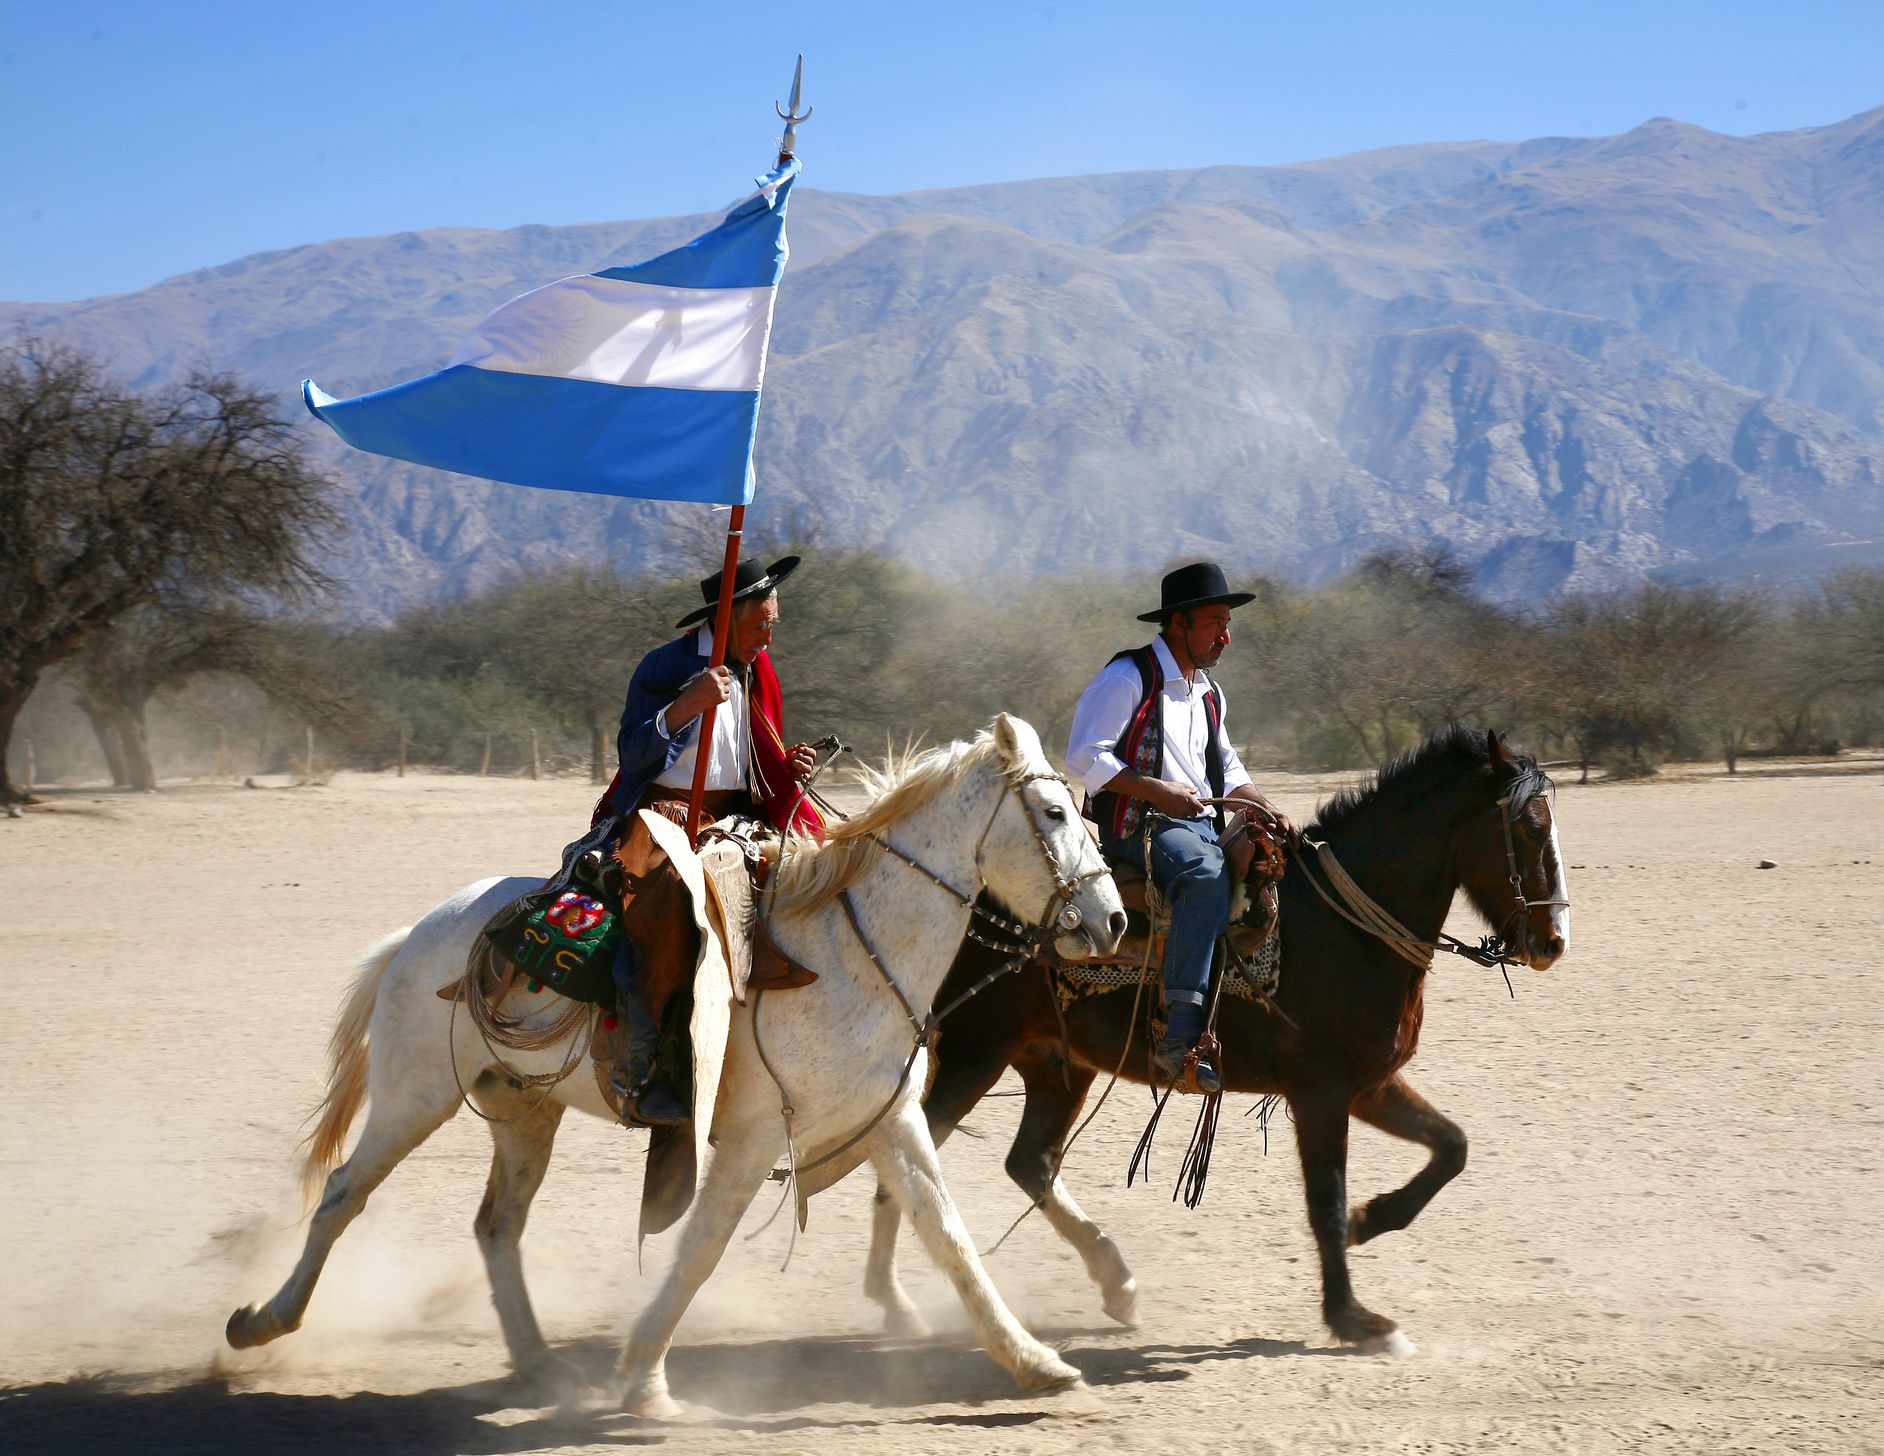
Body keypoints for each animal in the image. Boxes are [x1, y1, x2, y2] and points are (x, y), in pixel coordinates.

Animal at [227, 708, 1122, 1416]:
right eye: (1052, 811)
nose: (1112, 921)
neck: (845, 948)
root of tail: (418, 933)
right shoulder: (755, 1138)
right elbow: (700, 1250)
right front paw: (644, 1381)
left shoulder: (888, 1122)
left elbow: (949, 1237)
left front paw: (1036, 1362)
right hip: (417, 1094)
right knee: (343, 1195)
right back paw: (262, 1321)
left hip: (522, 1108)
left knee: (497, 1226)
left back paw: (541, 1366)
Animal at [862, 723, 1567, 1348]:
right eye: (1531, 829)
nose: (1553, 940)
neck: (1345, 929)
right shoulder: (1321, 1093)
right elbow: (1325, 1200)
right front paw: (1353, 1319)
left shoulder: (1369, 1084)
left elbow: (1452, 1147)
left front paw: (1369, 1222)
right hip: (975, 1054)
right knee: (907, 1162)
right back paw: (892, 1304)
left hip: (1058, 1063)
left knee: (1029, 1162)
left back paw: (1117, 1282)